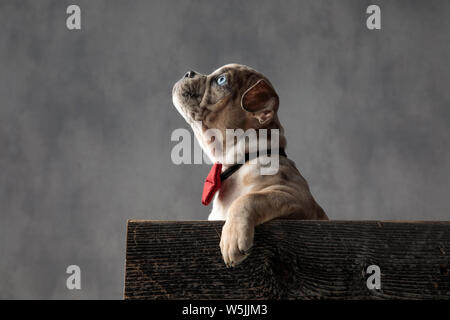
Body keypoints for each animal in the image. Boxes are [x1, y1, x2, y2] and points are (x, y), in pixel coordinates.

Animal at [172, 63, 326, 268]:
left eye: (221, 80)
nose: (188, 73)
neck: (239, 161)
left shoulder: (295, 197)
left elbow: (249, 199)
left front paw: (233, 238)